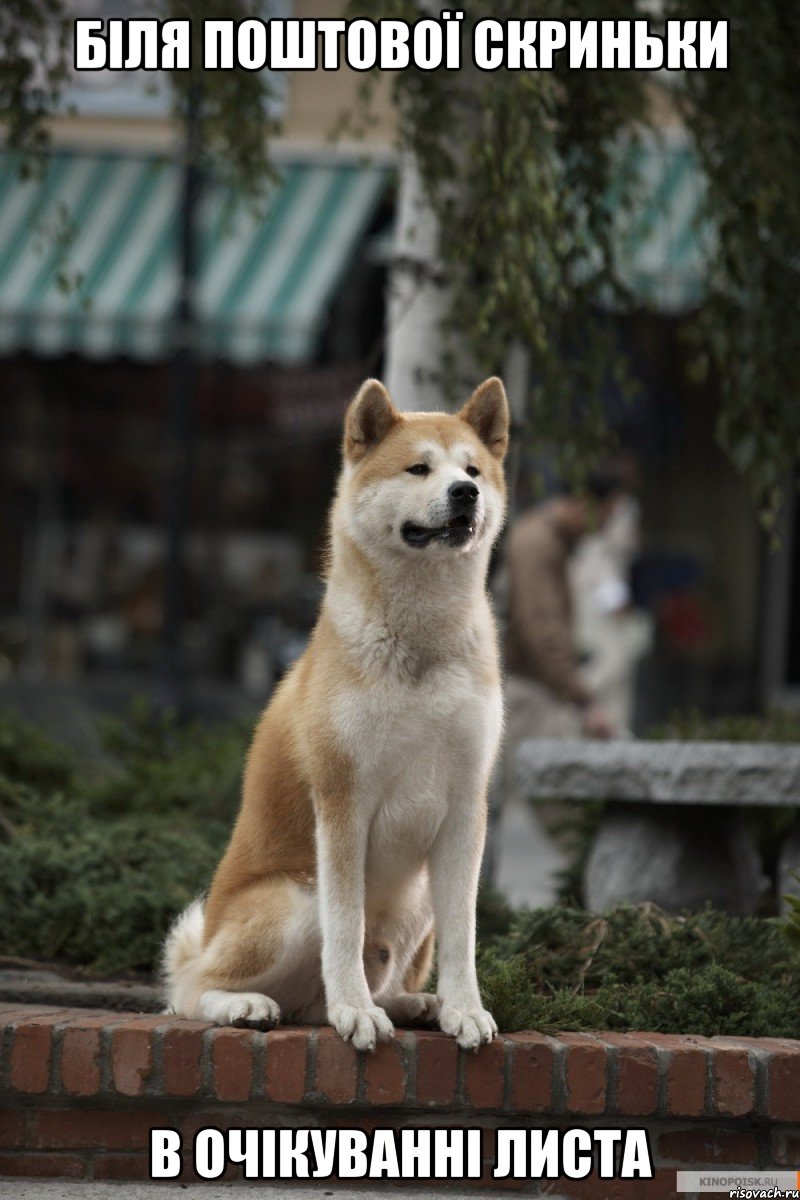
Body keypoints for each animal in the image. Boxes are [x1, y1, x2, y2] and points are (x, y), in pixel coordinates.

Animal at [165, 374, 510, 1051]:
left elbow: (464, 935)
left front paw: (464, 1009)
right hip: (295, 900)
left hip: (417, 900)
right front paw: (355, 1011)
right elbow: (346, 928)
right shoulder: (343, 801)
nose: (465, 493)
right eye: (418, 468)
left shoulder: (466, 806)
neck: (420, 643)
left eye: (473, 470)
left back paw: (415, 1003)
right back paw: (250, 1005)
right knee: (189, 990)